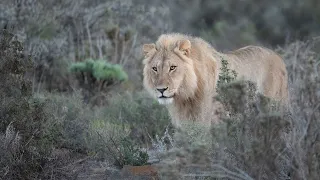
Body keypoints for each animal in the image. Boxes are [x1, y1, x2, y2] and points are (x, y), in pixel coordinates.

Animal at [142, 32, 288, 128]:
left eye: (172, 67)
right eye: (155, 68)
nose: (161, 90)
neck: (185, 97)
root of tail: (279, 58)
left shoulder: (207, 122)